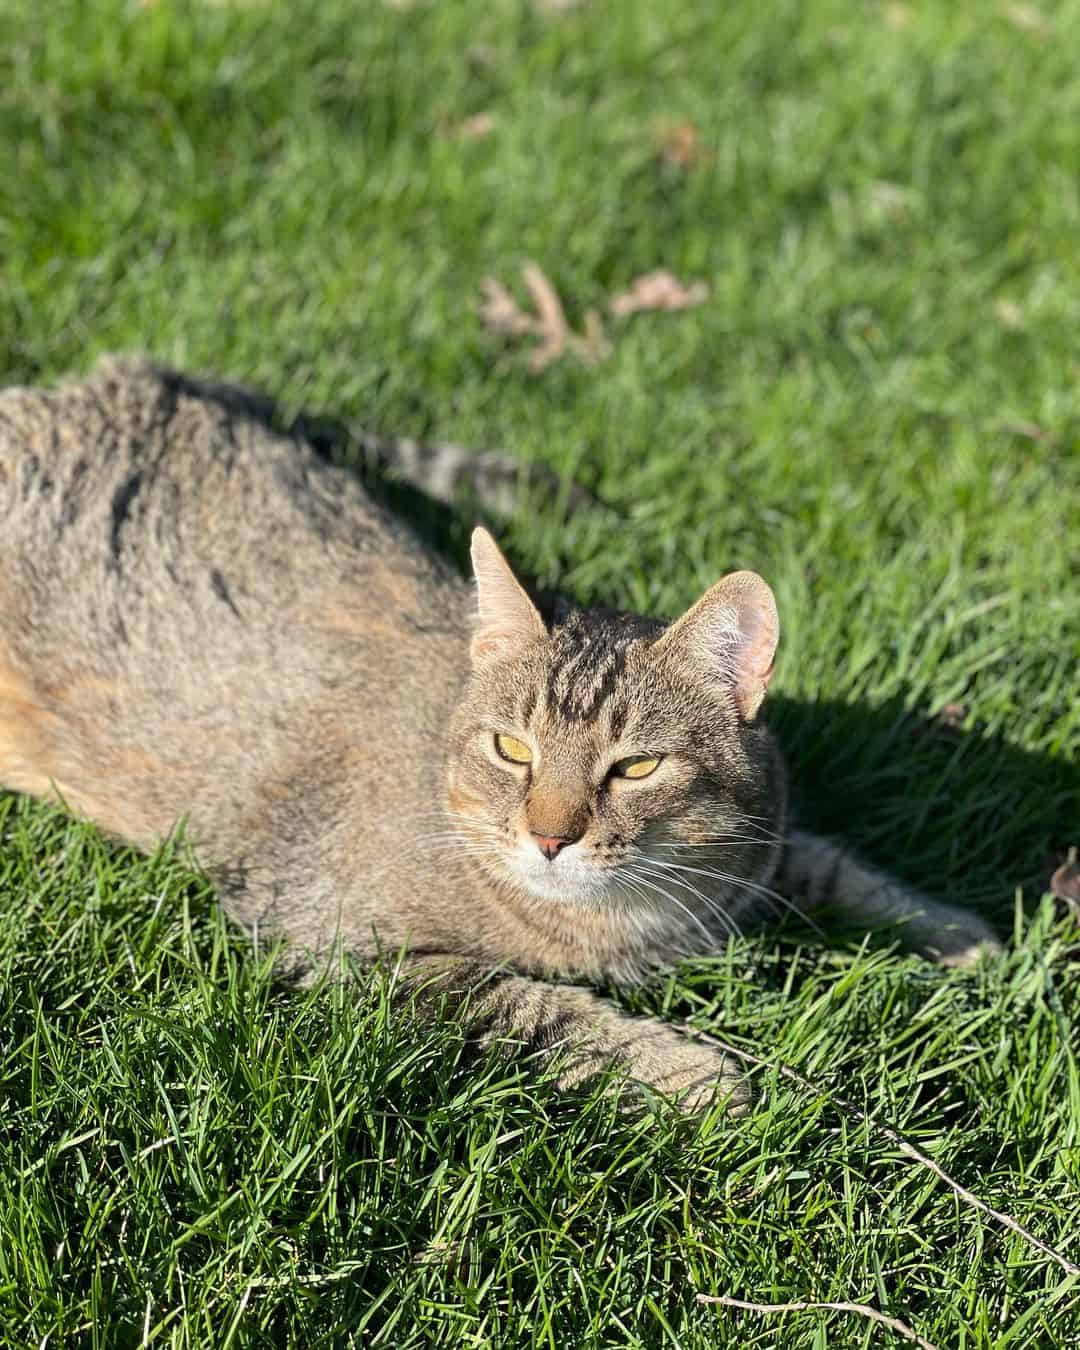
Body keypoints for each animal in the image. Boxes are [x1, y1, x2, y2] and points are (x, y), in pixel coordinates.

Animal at [0, 356, 999, 1107]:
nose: (550, 837)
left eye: (635, 767)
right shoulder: (348, 945)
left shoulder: (762, 848)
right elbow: (540, 1008)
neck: (632, 918)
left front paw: (962, 932)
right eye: (511, 750)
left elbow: (839, 866)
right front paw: (694, 1073)